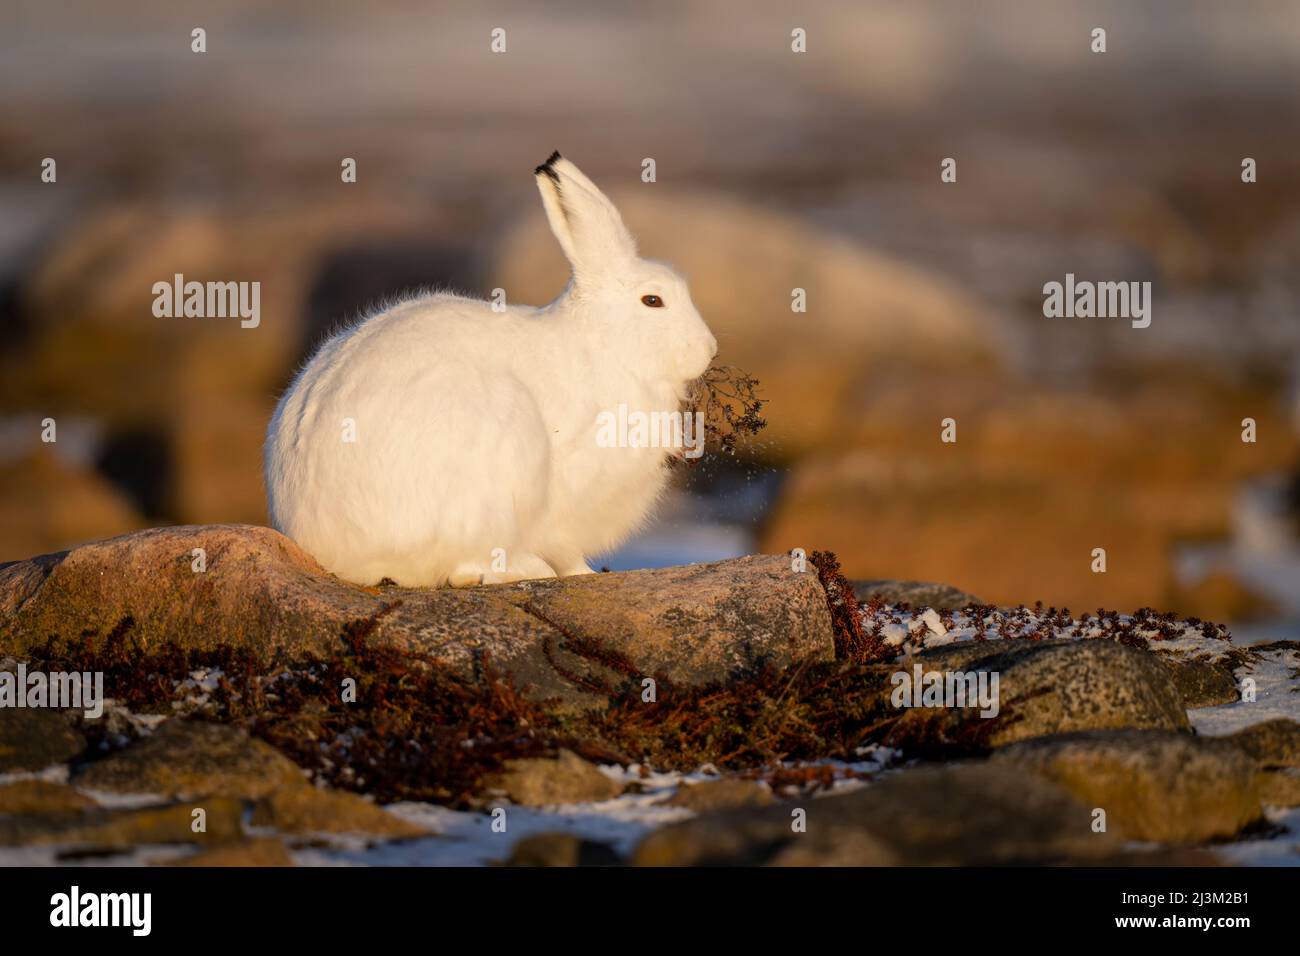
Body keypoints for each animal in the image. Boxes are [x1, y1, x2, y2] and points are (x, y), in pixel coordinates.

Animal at [264, 152, 718, 587]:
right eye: (653, 301)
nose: (709, 349)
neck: (605, 345)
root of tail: (334, 551)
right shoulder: (572, 493)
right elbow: (566, 549)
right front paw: (585, 574)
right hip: (497, 465)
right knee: (463, 570)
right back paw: (527, 570)